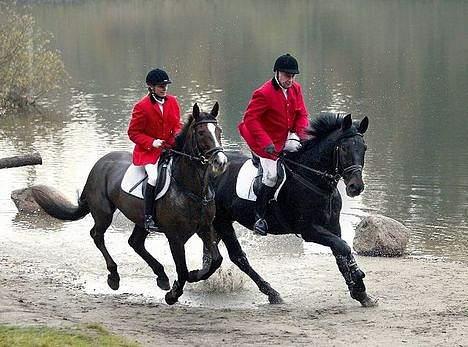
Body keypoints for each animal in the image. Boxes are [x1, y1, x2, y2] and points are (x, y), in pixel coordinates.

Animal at [31, 102, 229, 304]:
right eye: (201, 132)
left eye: (219, 131)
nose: (220, 162)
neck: (190, 189)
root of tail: (98, 165)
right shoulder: (174, 237)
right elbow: (182, 270)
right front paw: (173, 294)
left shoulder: (204, 228)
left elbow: (216, 260)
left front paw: (195, 274)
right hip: (103, 213)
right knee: (97, 235)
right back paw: (114, 277)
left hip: (140, 219)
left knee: (135, 243)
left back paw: (161, 277)